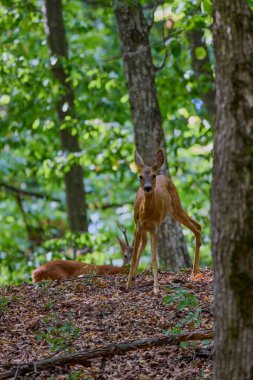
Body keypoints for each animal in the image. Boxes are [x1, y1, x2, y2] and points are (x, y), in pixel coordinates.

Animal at [127, 148, 203, 294]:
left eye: (153, 176)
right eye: (140, 176)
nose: (147, 188)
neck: (147, 213)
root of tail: (165, 176)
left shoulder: (154, 226)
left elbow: (153, 258)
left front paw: (156, 288)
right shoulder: (138, 225)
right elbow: (133, 257)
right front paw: (127, 284)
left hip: (176, 206)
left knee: (197, 227)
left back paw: (195, 272)